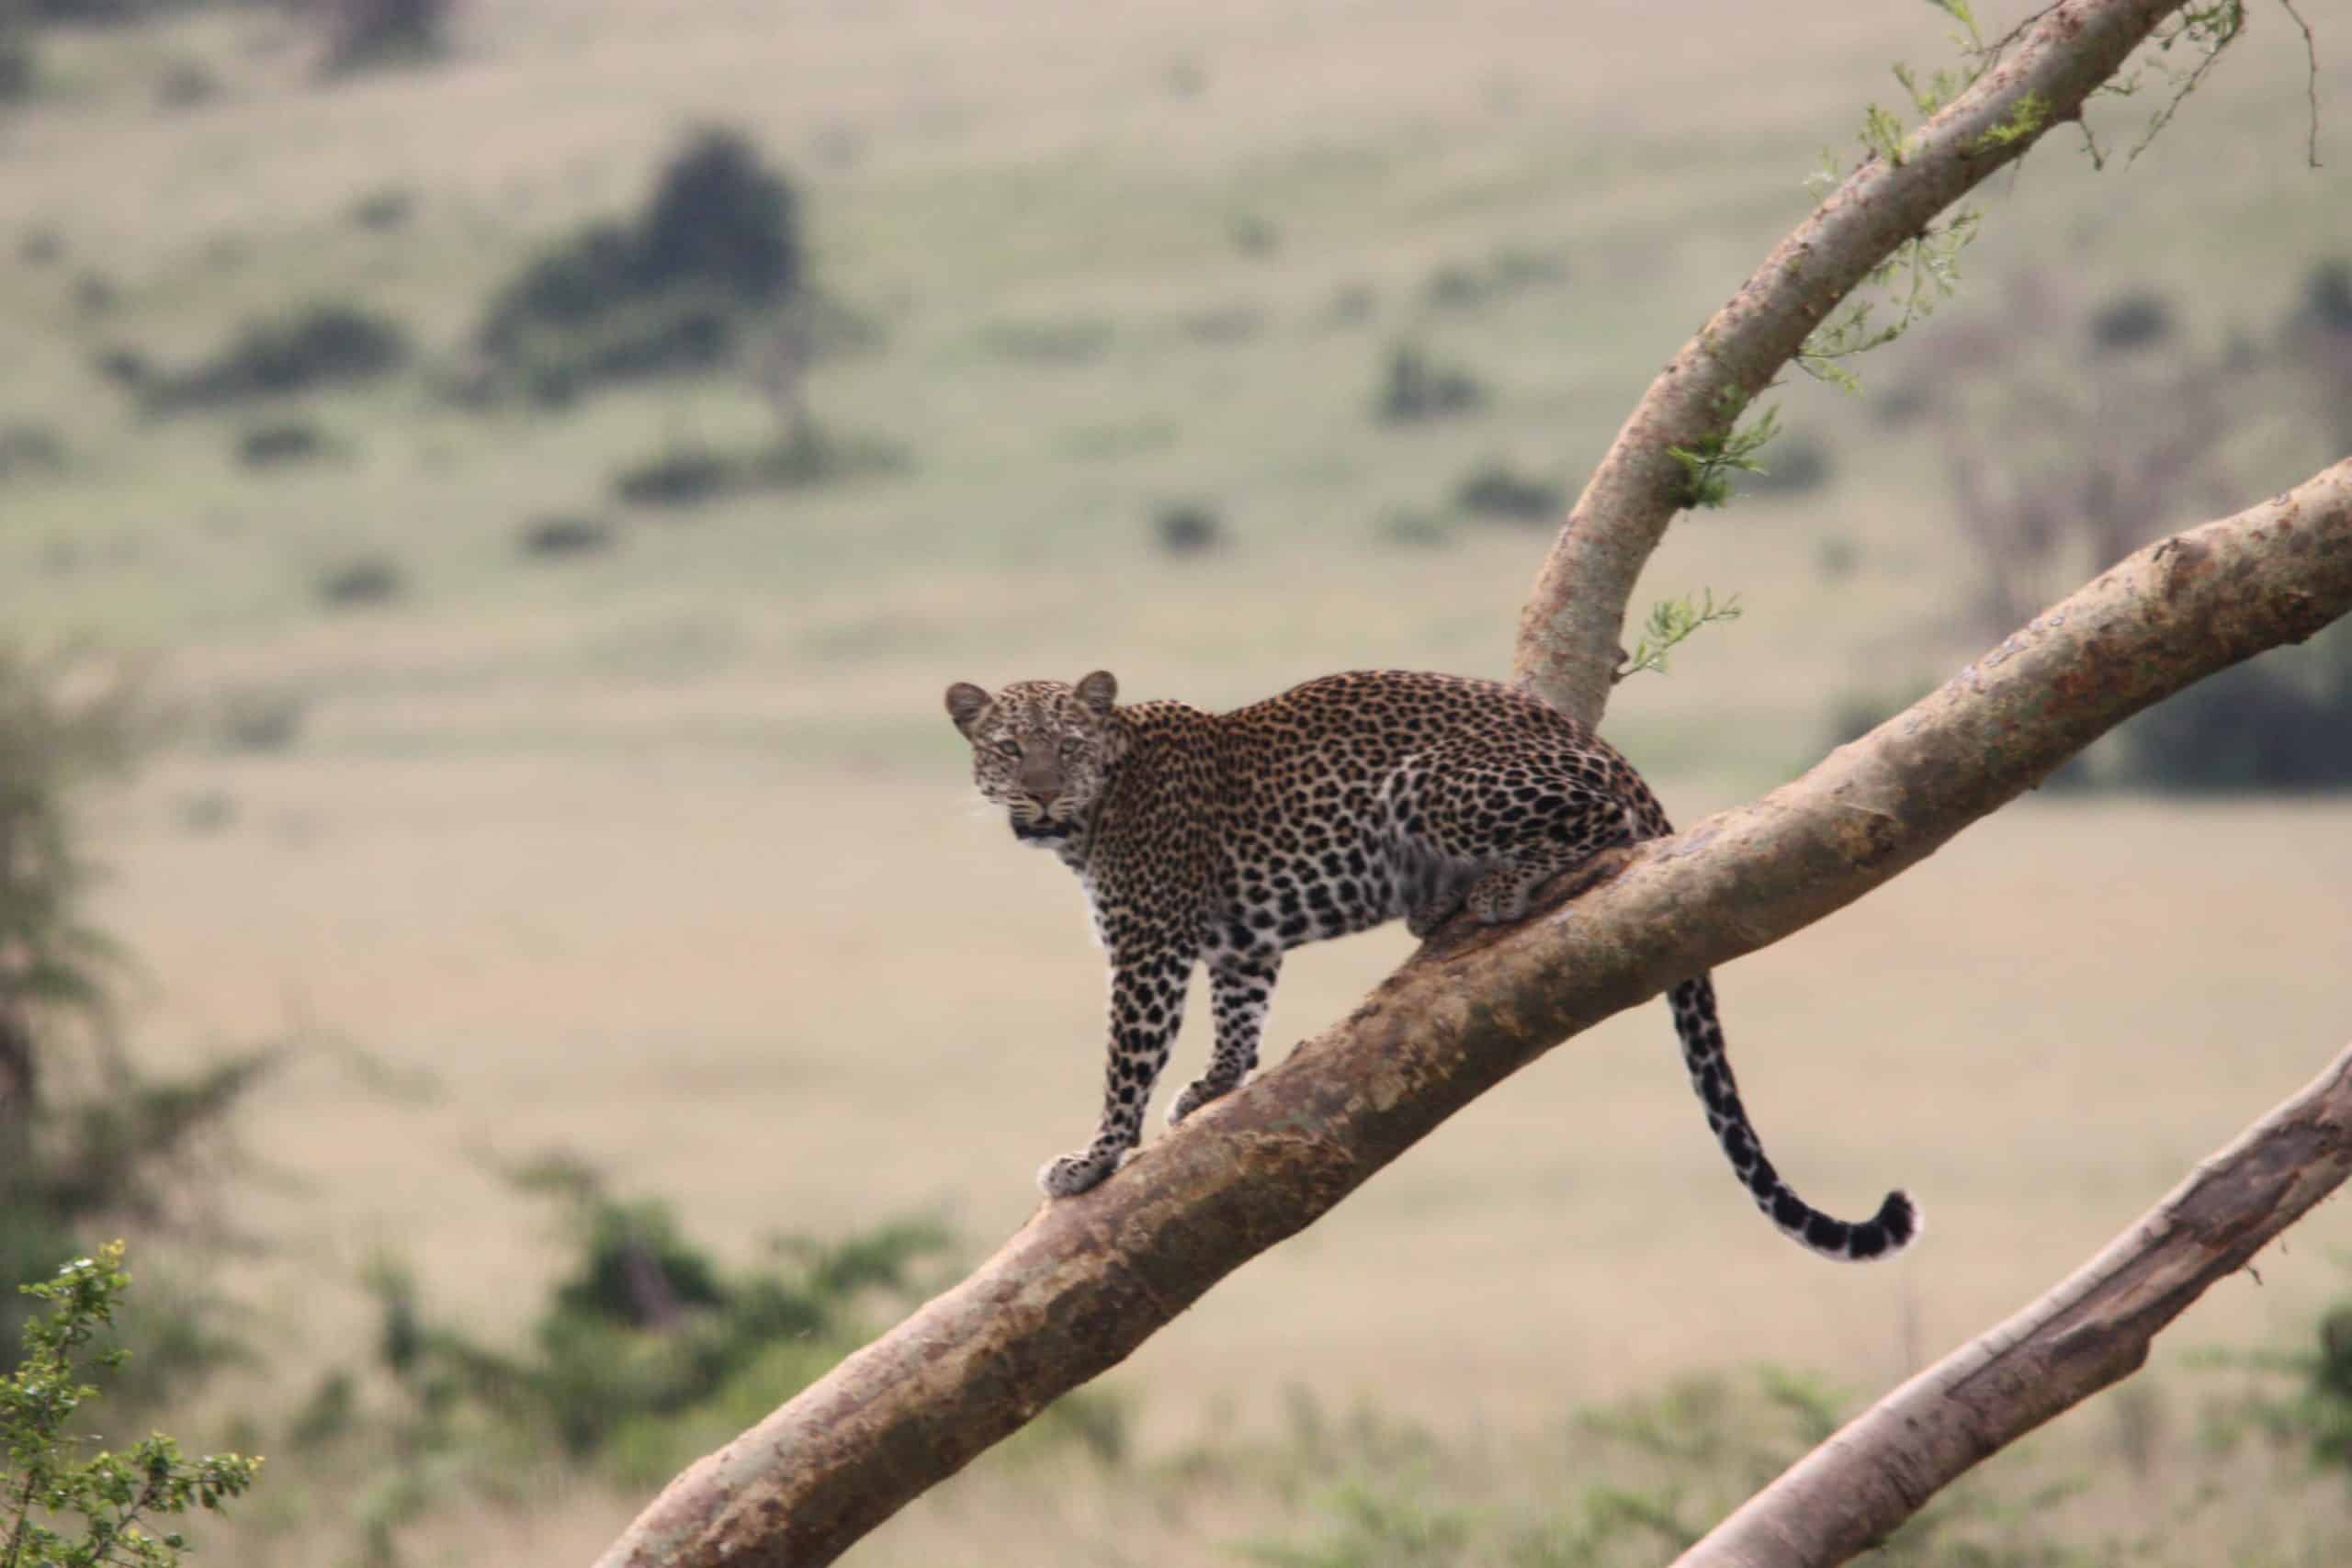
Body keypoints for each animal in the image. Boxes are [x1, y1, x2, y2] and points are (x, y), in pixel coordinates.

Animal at [944, 667, 1918, 1263]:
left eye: (1067, 746)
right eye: (1008, 748)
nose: (1039, 792)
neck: (1094, 812)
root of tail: (1608, 748)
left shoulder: (1148, 946)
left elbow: (1125, 1063)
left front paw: (1092, 1161)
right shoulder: (1239, 940)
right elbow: (1240, 1019)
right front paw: (1215, 1085)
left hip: (1436, 779)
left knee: (1598, 821)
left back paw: (1489, 889)